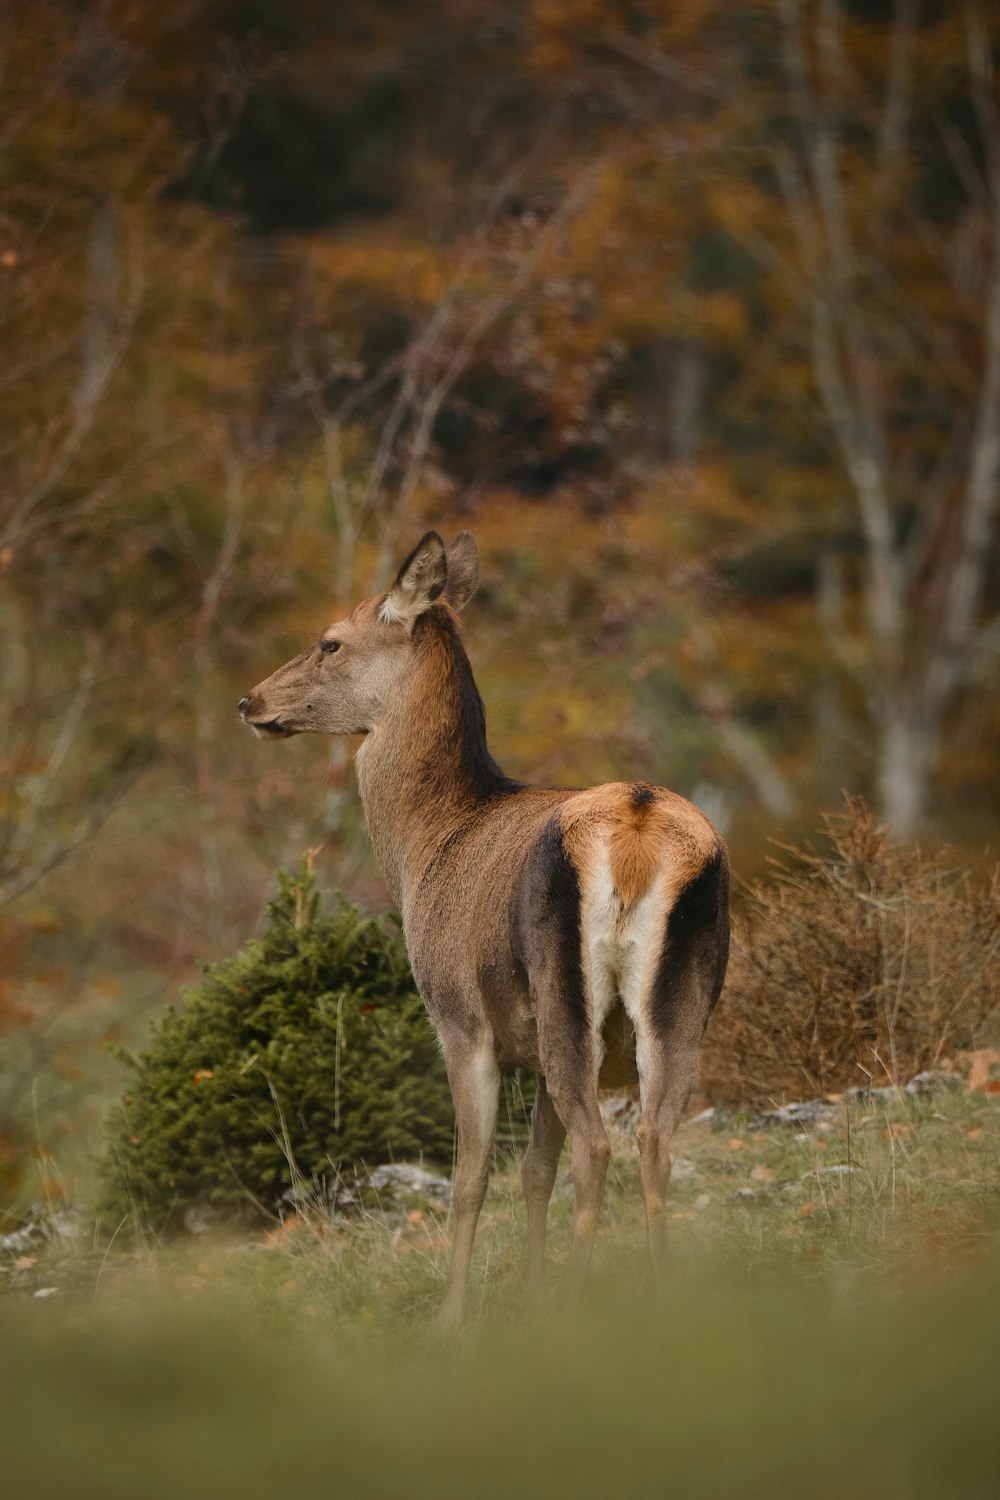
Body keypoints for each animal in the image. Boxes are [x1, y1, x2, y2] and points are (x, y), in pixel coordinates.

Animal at [239, 534, 731, 1332]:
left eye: (331, 640)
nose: (250, 701)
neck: (426, 847)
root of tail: (638, 824)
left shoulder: (459, 1019)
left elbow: (471, 1178)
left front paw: (454, 1318)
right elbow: (532, 1170)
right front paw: (525, 1294)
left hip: (564, 990)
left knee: (597, 1146)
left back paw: (572, 1309)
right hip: (685, 996)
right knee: (654, 1138)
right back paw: (660, 1303)